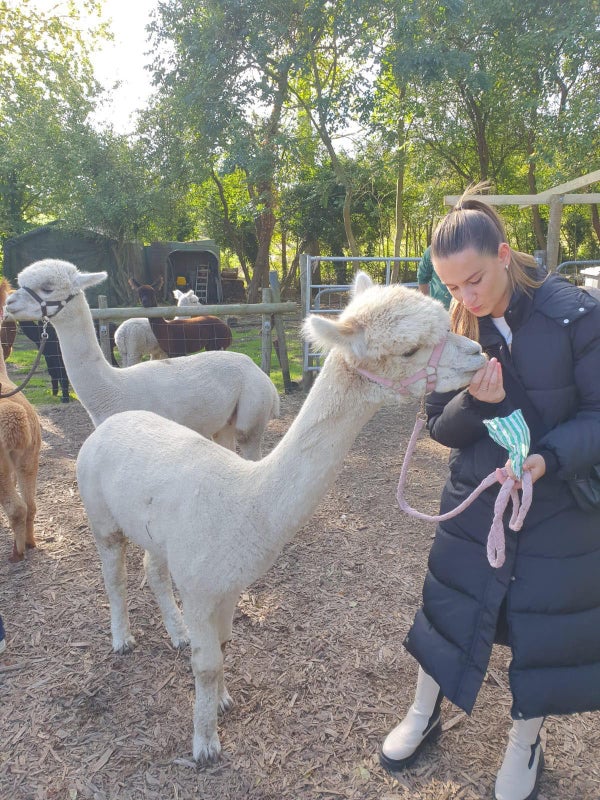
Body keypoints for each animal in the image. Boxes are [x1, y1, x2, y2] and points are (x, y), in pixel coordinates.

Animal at [5, 260, 279, 459]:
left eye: (48, 287)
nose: (9, 302)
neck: (113, 390)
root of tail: (258, 371)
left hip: (253, 411)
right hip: (223, 423)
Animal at [75, 272, 486, 763]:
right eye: (409, 350)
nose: (479, 352)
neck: (246, 501)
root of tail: (109, 424)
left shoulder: (226, 582)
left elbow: (224, 645)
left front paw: (222, 702)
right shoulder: (199, 586)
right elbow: (206, 663)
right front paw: (205, 743)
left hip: (156, 531)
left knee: (152, 569)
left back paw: (172, 633)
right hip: (100, 513)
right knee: (114, 576)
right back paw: (122, 639)